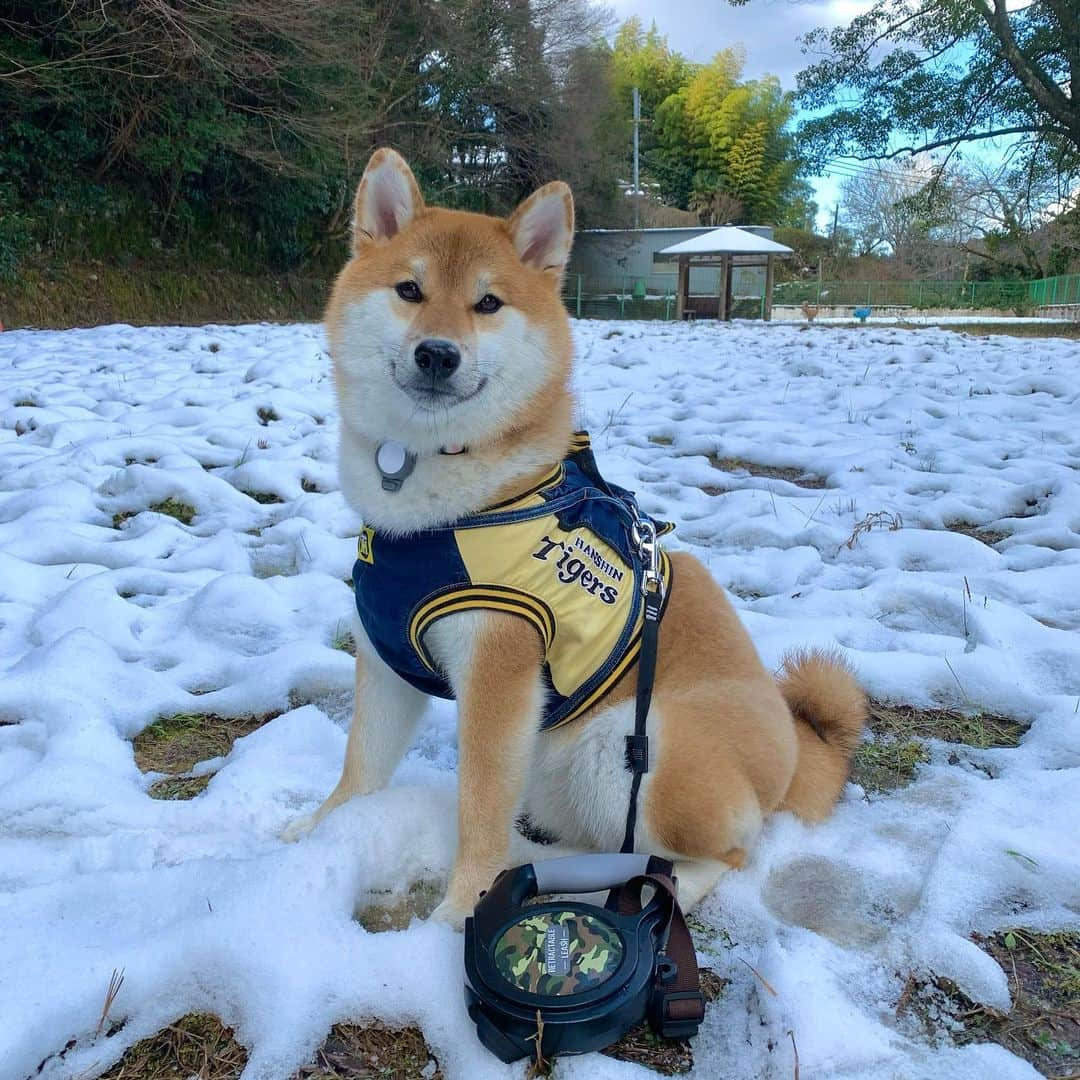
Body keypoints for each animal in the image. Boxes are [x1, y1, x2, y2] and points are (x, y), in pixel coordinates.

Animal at [285, 145, 868, 928]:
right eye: (409, 289)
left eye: (488, 304)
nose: (438, 353)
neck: (440, 510)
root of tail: (797, 751)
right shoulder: (385, 660)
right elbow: (361, 766)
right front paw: (321, 831)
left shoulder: (500, 675)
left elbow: (478, 811)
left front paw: (457, 913)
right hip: (561, 767)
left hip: (628, 749)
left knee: (715, 856)